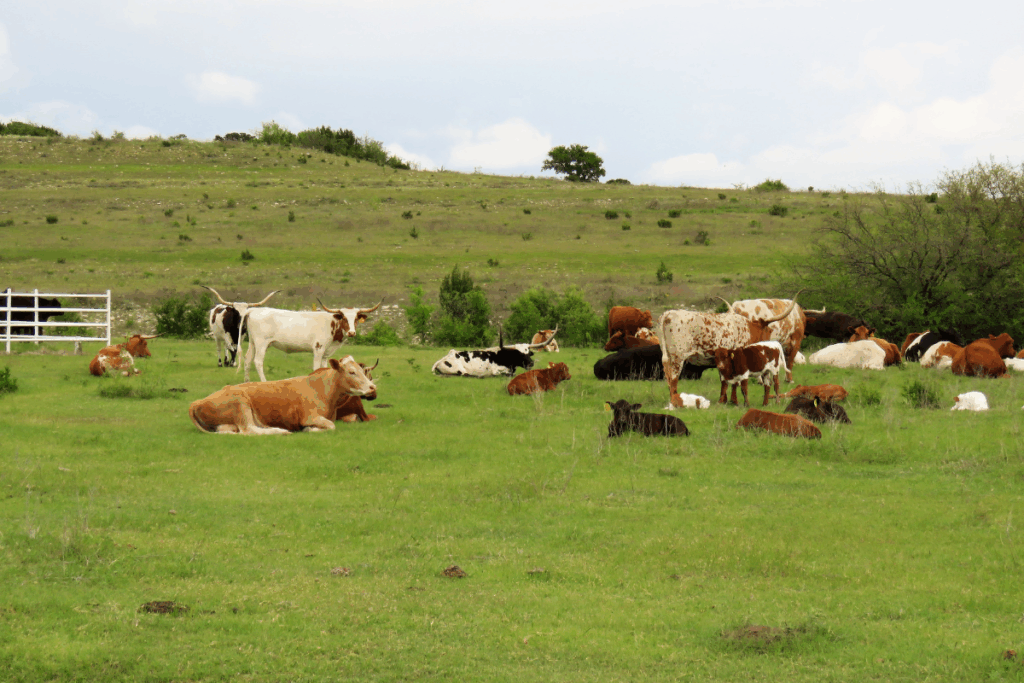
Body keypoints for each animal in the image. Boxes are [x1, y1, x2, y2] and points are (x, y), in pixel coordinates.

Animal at [189, 356, 377, 435]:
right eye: (352, 372)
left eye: (363, 371)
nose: (372, 387)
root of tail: (197, 402)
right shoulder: (310, 416)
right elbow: (330, 425)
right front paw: (309, 429)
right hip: (240, 403)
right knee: (248, 430)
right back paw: (280, 431)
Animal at [239, 298, 383, 382]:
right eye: (343, 318)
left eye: (356, 319)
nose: (352, 332)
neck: (331, 323)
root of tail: (253, 310)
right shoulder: (318, 349)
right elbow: (316, 367)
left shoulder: (326, 353)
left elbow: (325, 367)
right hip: (261, 343)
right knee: (258, 361)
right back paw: (264, 382)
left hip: (253, 343)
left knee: (247, 359)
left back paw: (247, 382)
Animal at [658, 296, 798, 409]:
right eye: (768, 331)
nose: (770, 344)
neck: (748, 329)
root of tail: (669, 313)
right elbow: (735, 382)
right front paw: (734, 401)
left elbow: (725, 381)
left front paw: (724, 400)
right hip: (677, 358)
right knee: (673, 381)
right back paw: (675, 403)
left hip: (668, 358)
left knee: (669, 380)